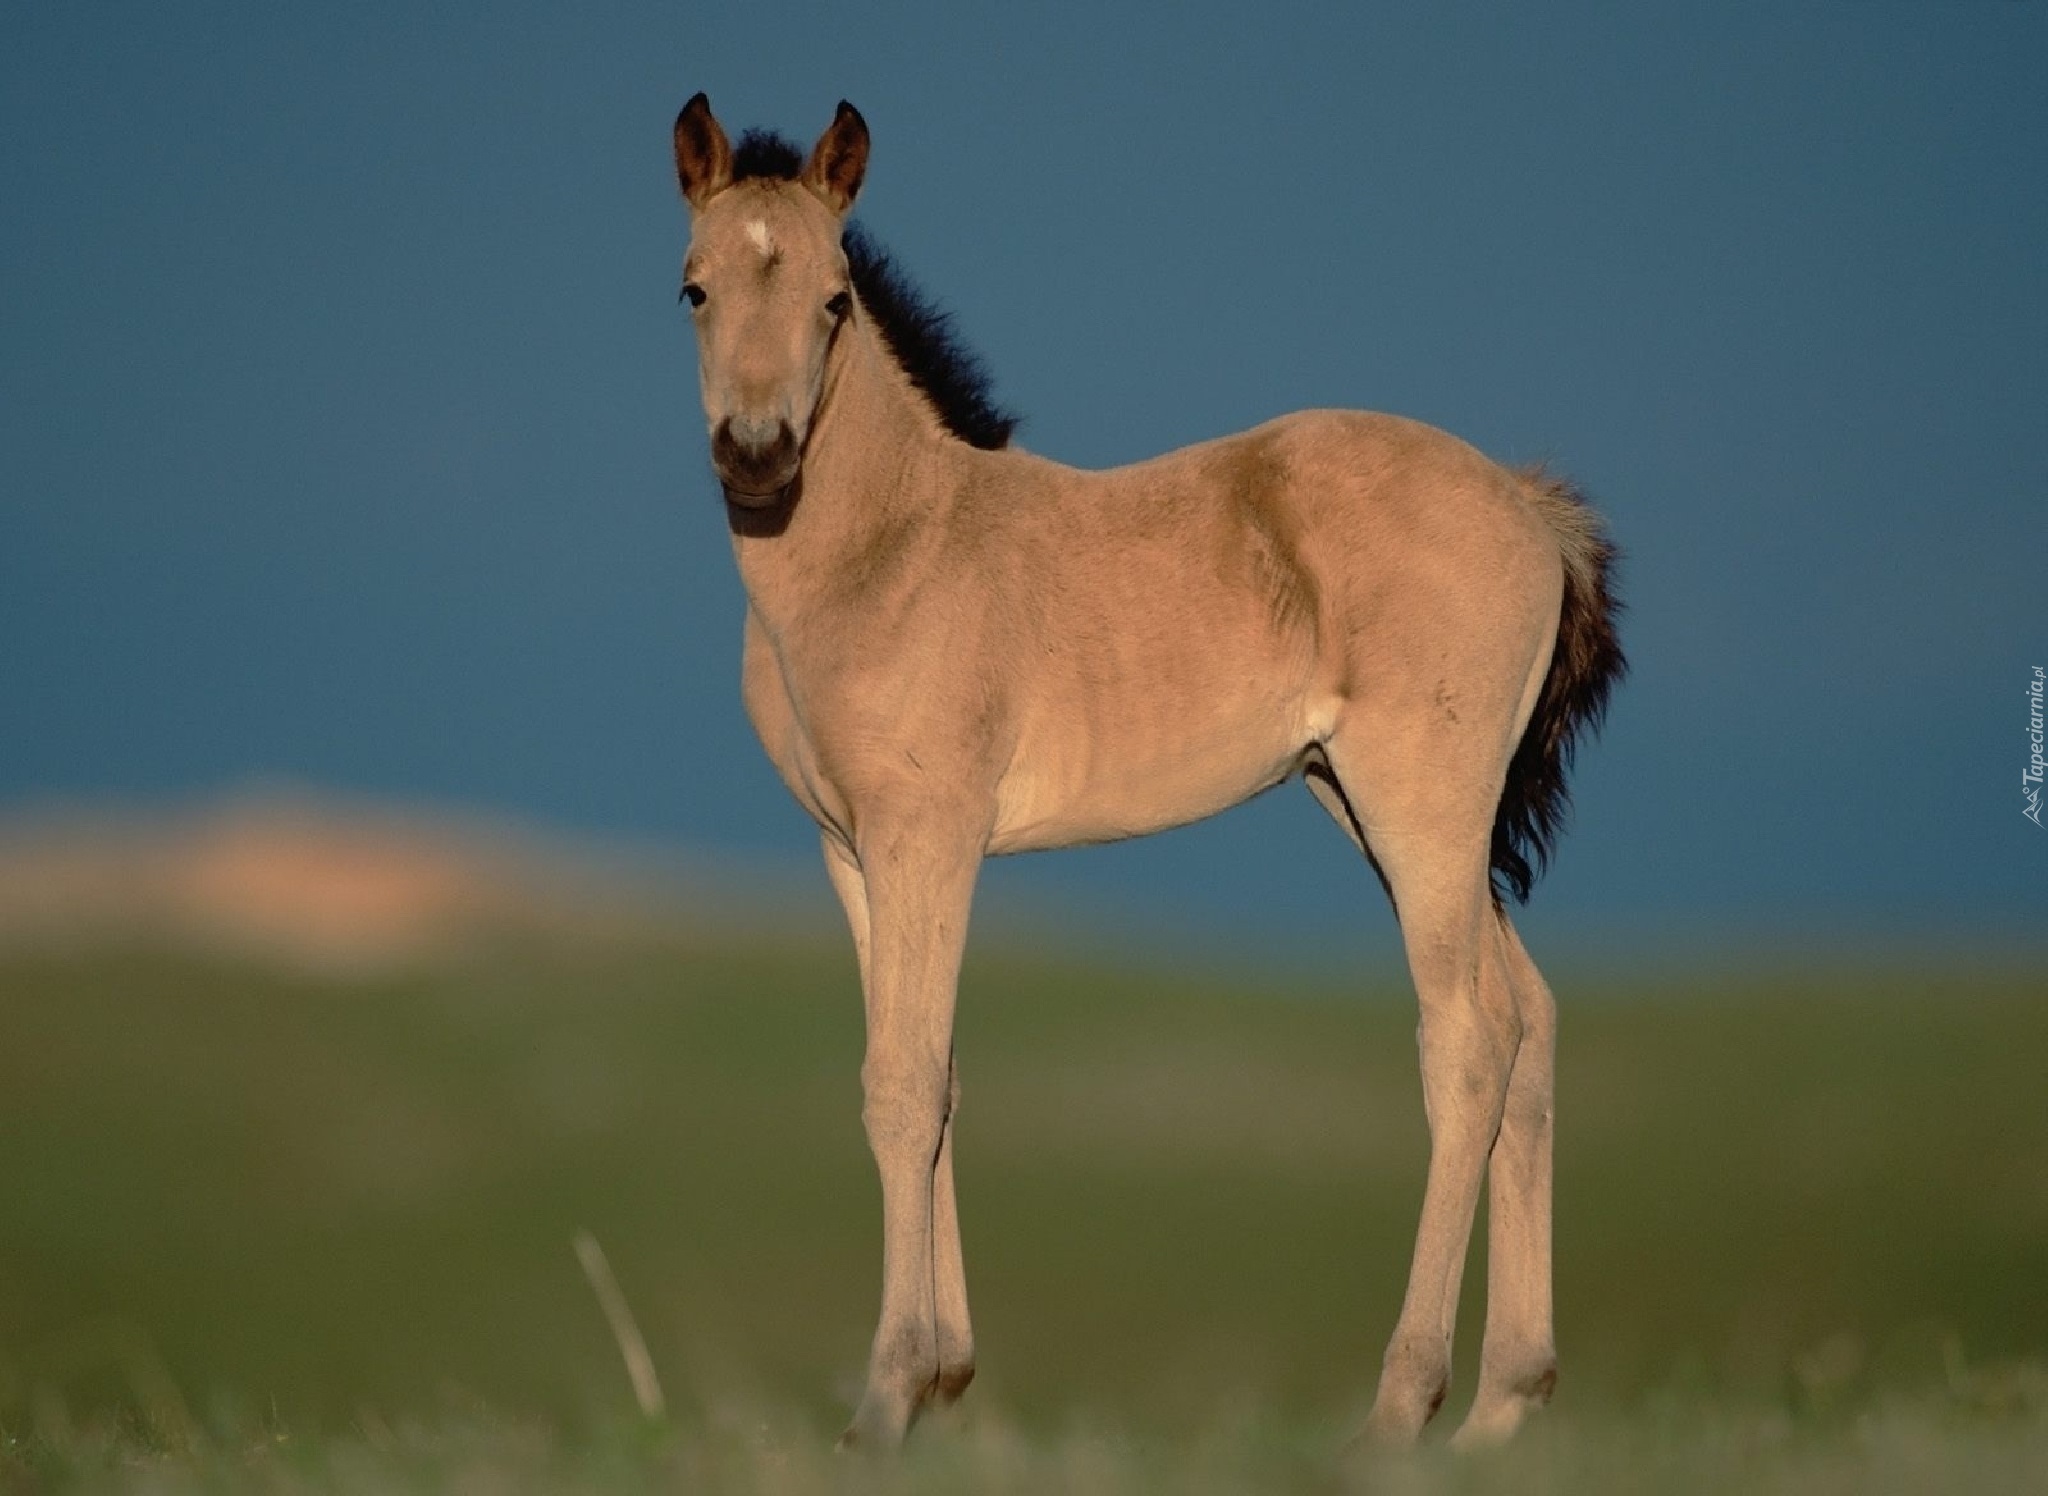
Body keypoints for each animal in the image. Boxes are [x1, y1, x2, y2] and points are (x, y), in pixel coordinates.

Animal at [663, 93, 1622, 1442]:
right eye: (691, 288)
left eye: (833, 298)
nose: (755, 454)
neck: (895, 545)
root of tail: (1530, 505)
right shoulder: (850, 849)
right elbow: (931, 1074)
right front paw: (945, 1377)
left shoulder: (929, 835)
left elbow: (901, 1081)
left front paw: (887, 1396)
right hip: (1379, 808)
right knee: (1528, 1020)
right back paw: (1500, 1407)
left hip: (1419, 806)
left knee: (1469, 1042)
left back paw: (1398, 1408)